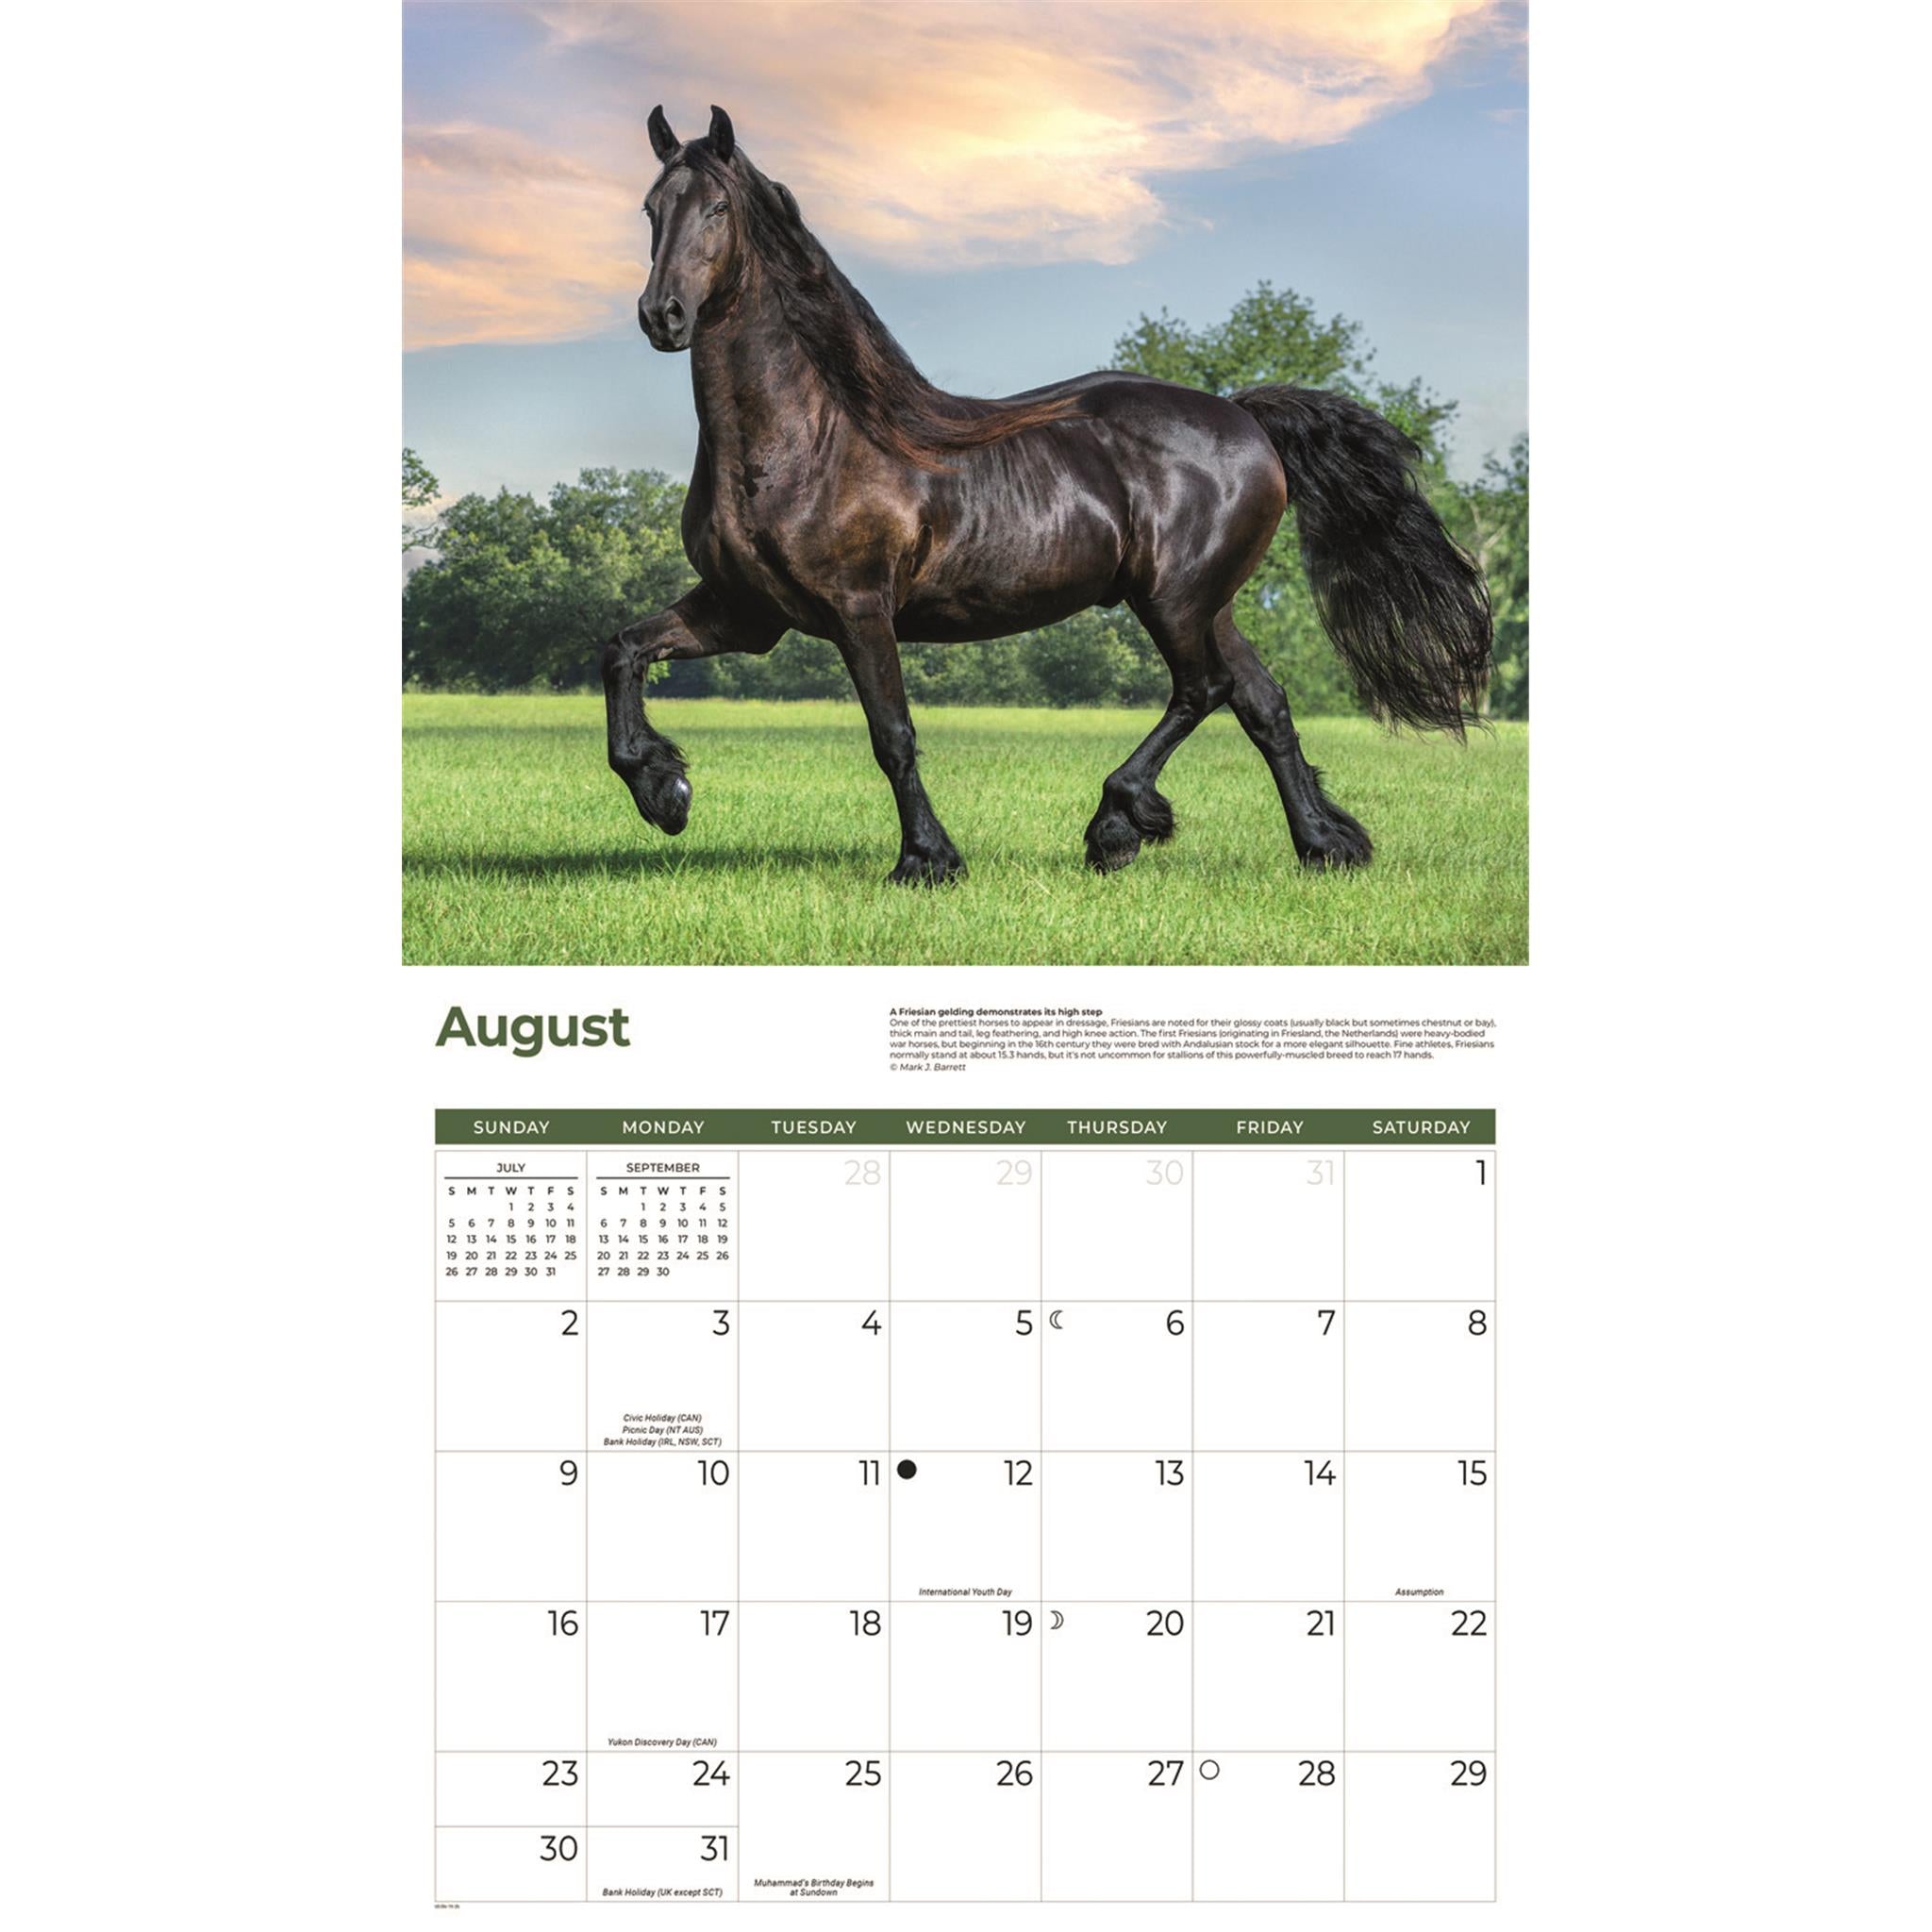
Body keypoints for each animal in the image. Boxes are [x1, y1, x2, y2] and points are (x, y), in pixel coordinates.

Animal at [604, 104, 1492, 885]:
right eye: (650, 208)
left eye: (718, 208)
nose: (662, 315)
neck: (806, 438)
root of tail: (1244, 416)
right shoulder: (747, 612)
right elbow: (623, 648)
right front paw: (665, 789)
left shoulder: (858, 609)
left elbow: (892, 735)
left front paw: (927, 861)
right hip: (1208, 602)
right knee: (1261, 703)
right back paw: (1323, 846)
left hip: (1173, 599)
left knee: (1201, 690)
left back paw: (1118, 824)